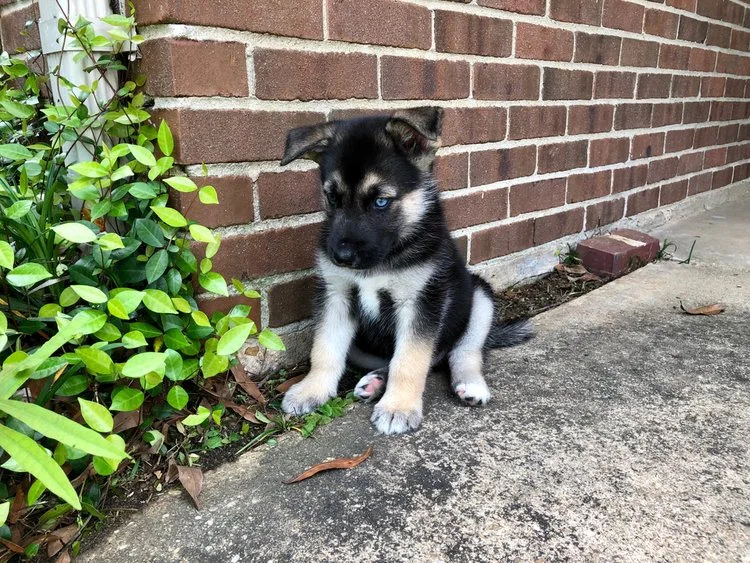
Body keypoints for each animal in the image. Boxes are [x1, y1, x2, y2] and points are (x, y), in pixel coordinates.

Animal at [280, 107, 532, 436]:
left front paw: (398, 407)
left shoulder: (421, 303)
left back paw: (469, 382)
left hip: (478, 296)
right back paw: (375, 381)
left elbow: (410, 360)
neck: (383, 260)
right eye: (332, 198)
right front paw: (311, 390)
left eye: (381, 201)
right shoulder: (336, 296)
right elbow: (325, 349)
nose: (341, 257)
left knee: (461, 351)